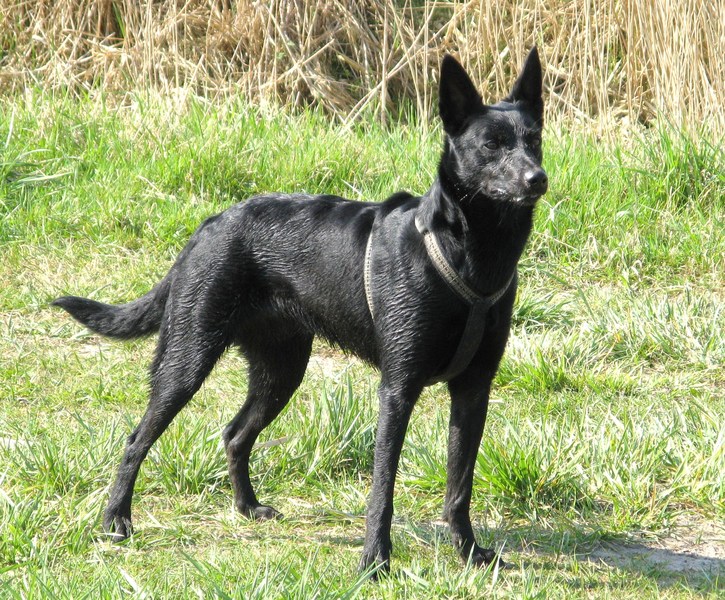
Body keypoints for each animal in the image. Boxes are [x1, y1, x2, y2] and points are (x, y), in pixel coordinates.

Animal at [53, 49, 544, 576]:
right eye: (491, 145)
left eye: (534, 140)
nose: (537, 178)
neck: (470, 254)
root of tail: (209, 225)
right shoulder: (397, 389)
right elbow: (383, 487)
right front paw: (375, 560)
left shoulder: (473, 391)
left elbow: (459, 486)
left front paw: (470, 552)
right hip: (186, 361)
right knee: (136, 439)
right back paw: (116, 520)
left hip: (281, 371)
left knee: (235, 435)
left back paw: (247, 507)